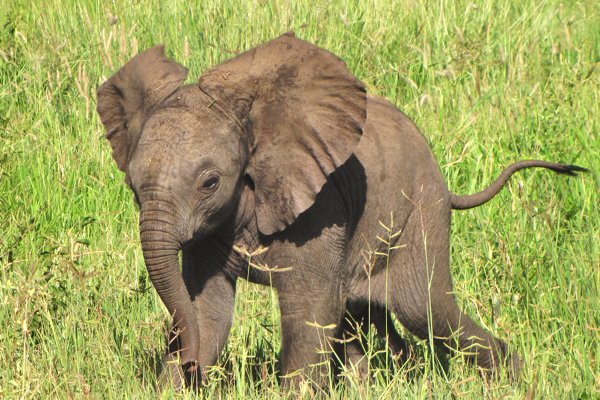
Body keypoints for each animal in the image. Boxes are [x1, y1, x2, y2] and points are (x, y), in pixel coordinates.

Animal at [97, 32, 584, 390]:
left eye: (210, 183)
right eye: (133, 187)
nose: (191, 363)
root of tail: (446, 187)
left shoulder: (320, 207)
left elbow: (309, 311)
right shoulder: (211, 229)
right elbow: (207, 310)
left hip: (419, 215)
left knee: (426, 310)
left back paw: (515, 377)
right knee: (363, 319)